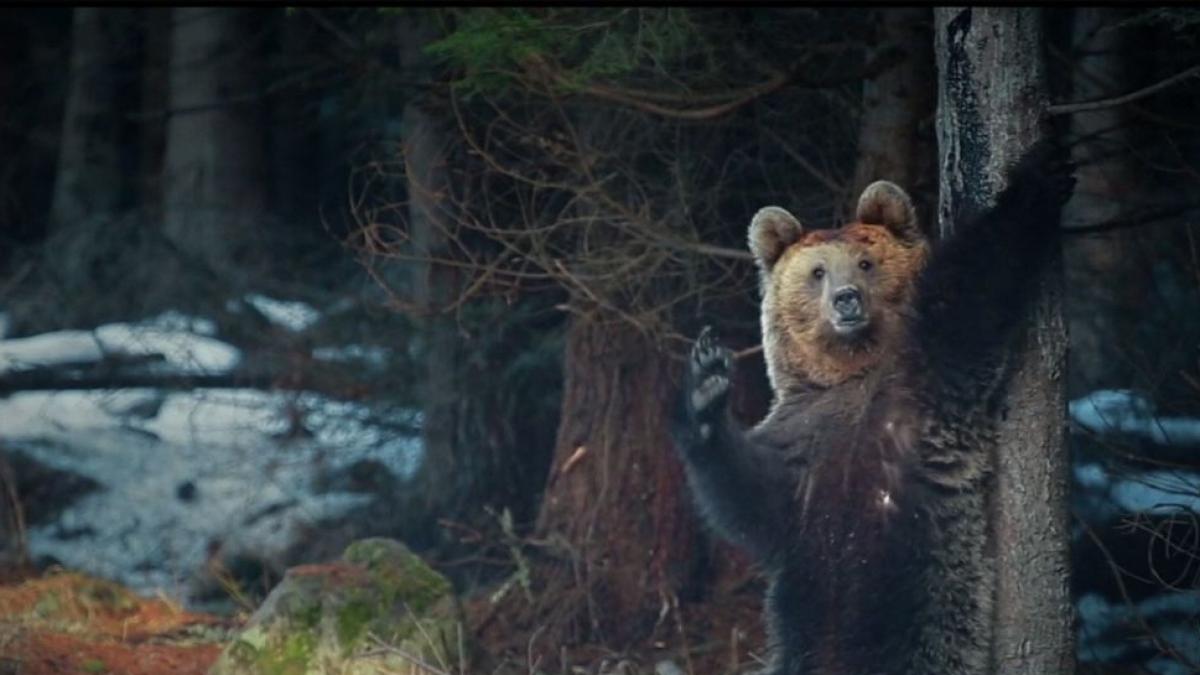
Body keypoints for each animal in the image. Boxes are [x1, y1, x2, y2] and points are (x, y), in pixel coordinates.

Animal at [676, 141, 1080, 672]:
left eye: (866, 262)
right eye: (817, 271)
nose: (847, 300)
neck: (852, 371)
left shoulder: (917, 391)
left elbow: (968, 293)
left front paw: (1040, 174)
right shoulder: (800, 445)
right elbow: (745, 496)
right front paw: (705, 388)